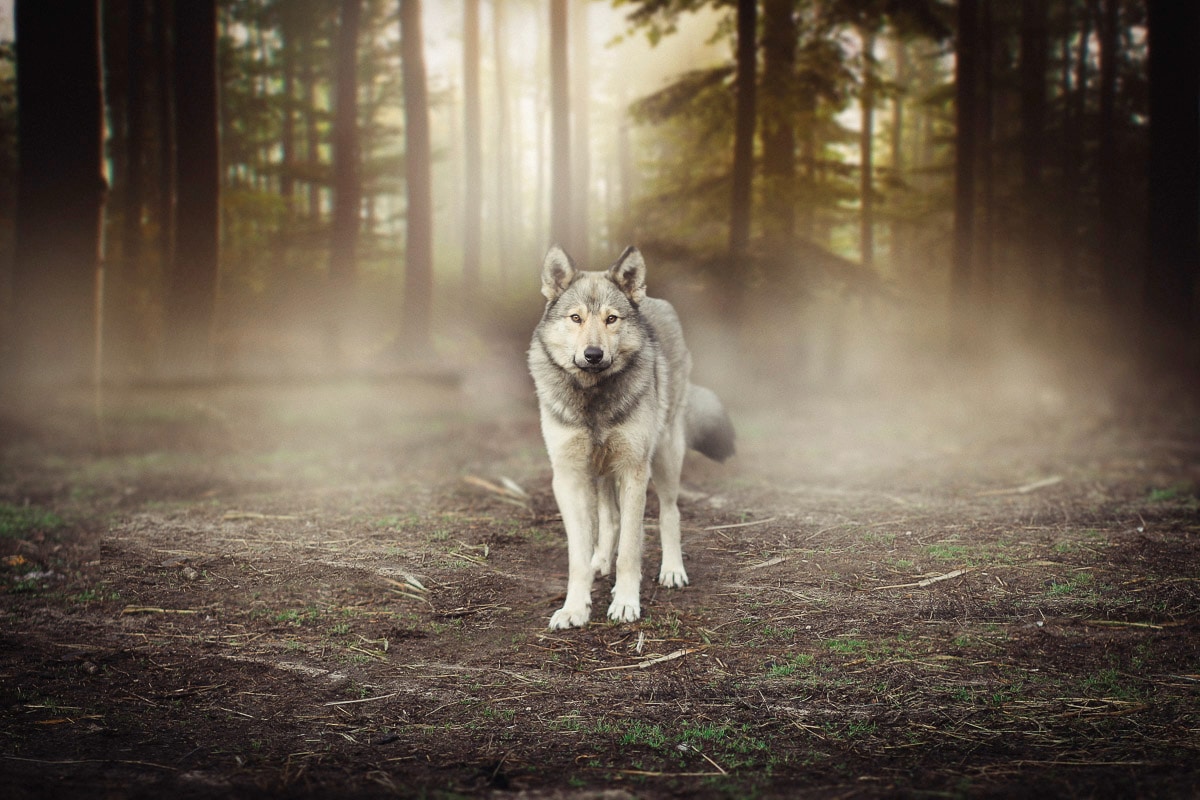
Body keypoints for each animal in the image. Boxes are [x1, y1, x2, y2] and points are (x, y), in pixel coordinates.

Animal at [528, 245, 735, 629]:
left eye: (611, 319)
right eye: (576, 318)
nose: (593, 354)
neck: (594, 398)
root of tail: (655, 299)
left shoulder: (633, 471)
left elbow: (629, 549)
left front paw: (625, 603)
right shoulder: (569, 478)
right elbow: (578, 556)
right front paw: (574, 607)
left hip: (665, 457)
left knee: (670, 513)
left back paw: (672, 570)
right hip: (601, 472)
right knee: (608, 520)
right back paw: (599, 562)